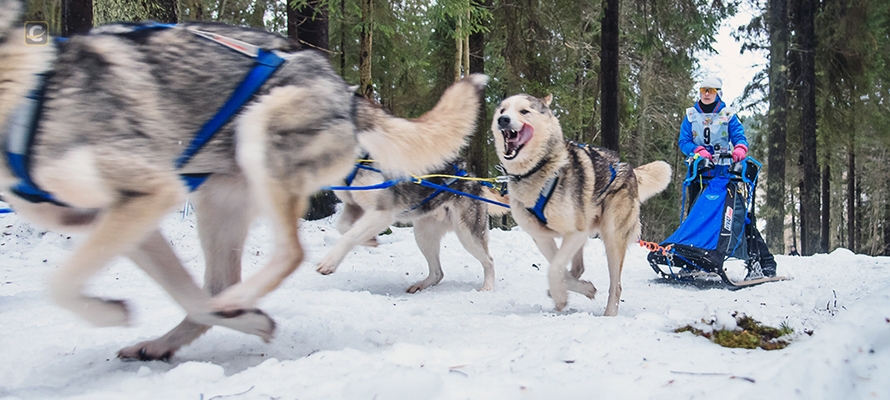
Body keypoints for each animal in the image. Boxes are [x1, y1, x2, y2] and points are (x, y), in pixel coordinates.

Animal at [314, 159, 506, 290]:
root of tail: (473, 178)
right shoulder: (354, 206)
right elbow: (344, 227)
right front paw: (369, 240)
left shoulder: (382, 213)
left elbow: (349, 235)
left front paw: (329, 262)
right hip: (423, 235)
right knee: (438, 272)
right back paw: (423, 284)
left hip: (467, 234)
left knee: (489, 261)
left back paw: (488, 287)